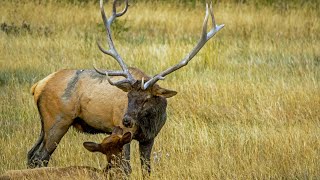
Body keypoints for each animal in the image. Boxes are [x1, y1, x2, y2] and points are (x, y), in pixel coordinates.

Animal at [26, 0, 222, 175]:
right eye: (128, 97)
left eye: (147, 99)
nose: (126, 120)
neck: (149, 122)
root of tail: (37, 85)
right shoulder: (124, 134)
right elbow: (127, 168)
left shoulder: (149, 138)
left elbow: (147, 169)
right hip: (58, 120)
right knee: (40, 157)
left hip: (44, 124)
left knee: (31, 154)